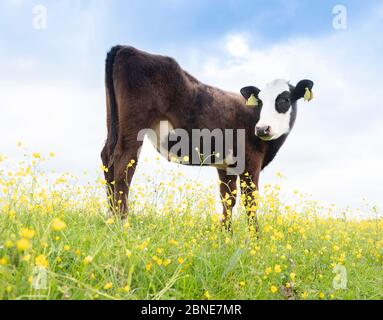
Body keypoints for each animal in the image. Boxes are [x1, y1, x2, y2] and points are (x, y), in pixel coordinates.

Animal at [102, 45, 316, 230]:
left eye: (285, 99)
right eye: (260, 101)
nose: (262, 129)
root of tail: (126, 48)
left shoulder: (226, 166)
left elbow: (228, 199)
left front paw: (226, 237)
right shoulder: (251, 160)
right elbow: (250, 200)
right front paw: (254, 241)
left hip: (114, 123)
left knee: (107, 157)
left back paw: (110, 219)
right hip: (134, 126)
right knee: (124, 162)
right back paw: (123, 224)